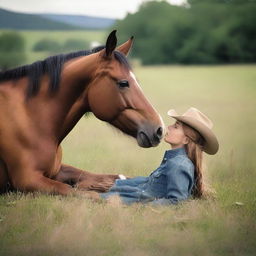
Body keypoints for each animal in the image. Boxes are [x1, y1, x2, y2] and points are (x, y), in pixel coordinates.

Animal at [0, 30, 164, 198]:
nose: (159, 129)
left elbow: (115, 177)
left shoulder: (58, 169)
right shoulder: (28, 180)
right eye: (123, 83)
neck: (30, 118)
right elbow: (87, 194)